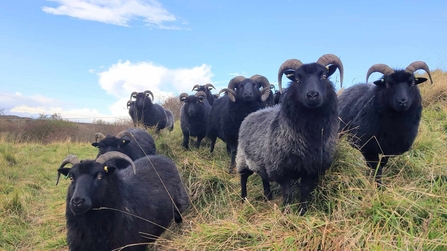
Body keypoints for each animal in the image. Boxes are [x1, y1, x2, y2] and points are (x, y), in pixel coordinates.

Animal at [236, 54, 344, 215]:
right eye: (297, 79)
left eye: (324, 76)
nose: (312, 95)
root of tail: (252, 114)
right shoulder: (281, 169)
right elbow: (287, 194)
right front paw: (286, 213)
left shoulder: (310, 169)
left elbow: (304, 192)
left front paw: (302, 212)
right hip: (243, 158)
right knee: (243, 178)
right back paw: (243, 199)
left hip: (262, 160)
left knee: (264, 177)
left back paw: (268, 196)